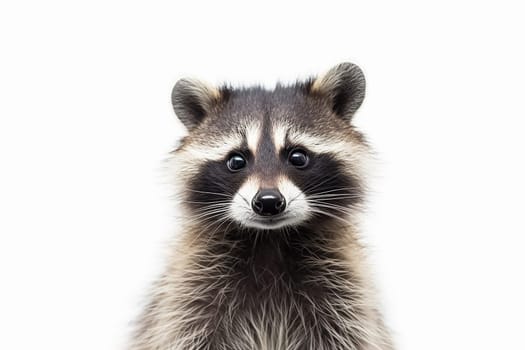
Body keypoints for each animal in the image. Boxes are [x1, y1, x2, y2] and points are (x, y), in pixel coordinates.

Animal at [131, 63, 392, 350]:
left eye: (297, 156)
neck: (269, 239)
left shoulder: (344, 291)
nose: (268, 202)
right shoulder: (188, 291)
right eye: (236, 160)